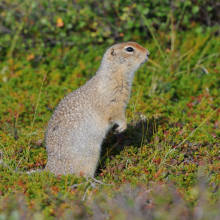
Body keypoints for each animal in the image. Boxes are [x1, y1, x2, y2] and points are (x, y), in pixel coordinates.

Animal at [44, 41, 150, 177]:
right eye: (129, 49)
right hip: (91, 154)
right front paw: (122, 126)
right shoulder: (113, 101)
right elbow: (116, 114)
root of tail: (50, 168)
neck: (114, 73)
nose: (148, 53)